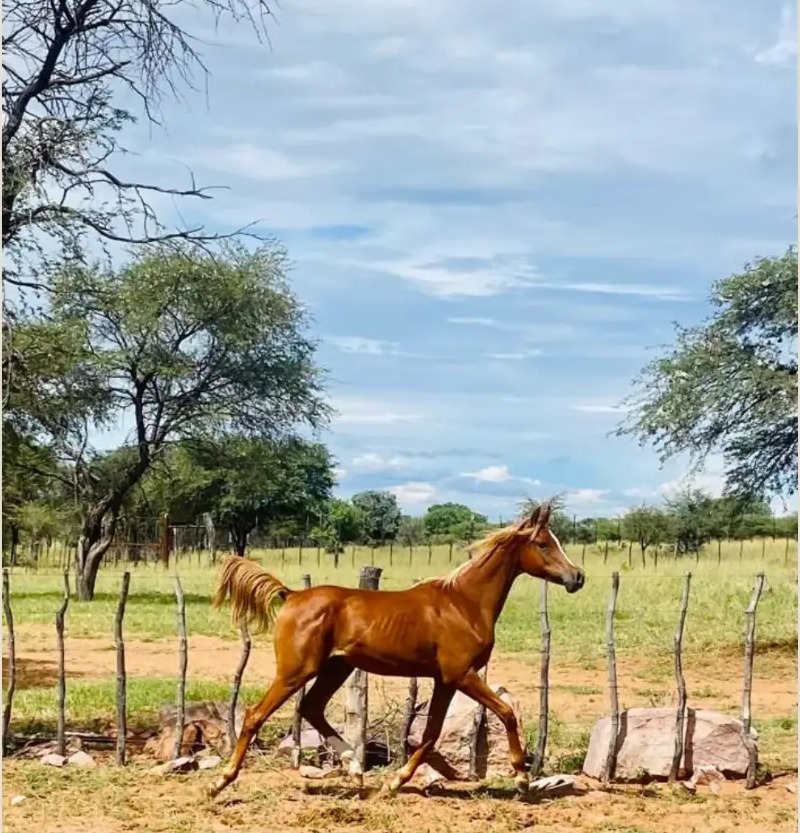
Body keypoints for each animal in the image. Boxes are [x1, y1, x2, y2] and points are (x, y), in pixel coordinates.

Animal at [207, 503, 585, 799]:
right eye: (543, 543)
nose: (577, 577)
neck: (464, 603)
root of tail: (291, 595)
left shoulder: (445, 680)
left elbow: (430, 734)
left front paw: (395, 783)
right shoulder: (462, 674)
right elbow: (506, 713)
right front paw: (522, 779)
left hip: (335, 667)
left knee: (312, 708)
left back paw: (355, 770)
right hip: (295, 671)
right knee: (255, 715)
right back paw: (221, 782)